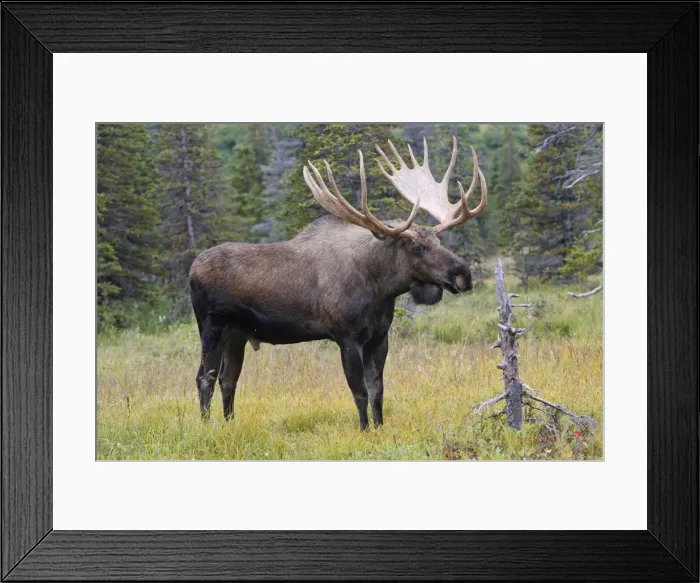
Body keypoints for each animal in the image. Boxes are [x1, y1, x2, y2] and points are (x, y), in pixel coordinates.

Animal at [188, 136, 487, 430]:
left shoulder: (379, 337)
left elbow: (378, 390)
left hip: (237, 333)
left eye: (438, 240)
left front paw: (379, 428)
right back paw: (205, 426)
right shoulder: (347, 337)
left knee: (228, 379)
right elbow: (360, 392)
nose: (463, 274)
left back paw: (230, 425)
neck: (378, 289)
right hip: (212, 326)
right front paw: (365, 430)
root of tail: (192, 270)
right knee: (205, 377)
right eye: (417, 247)